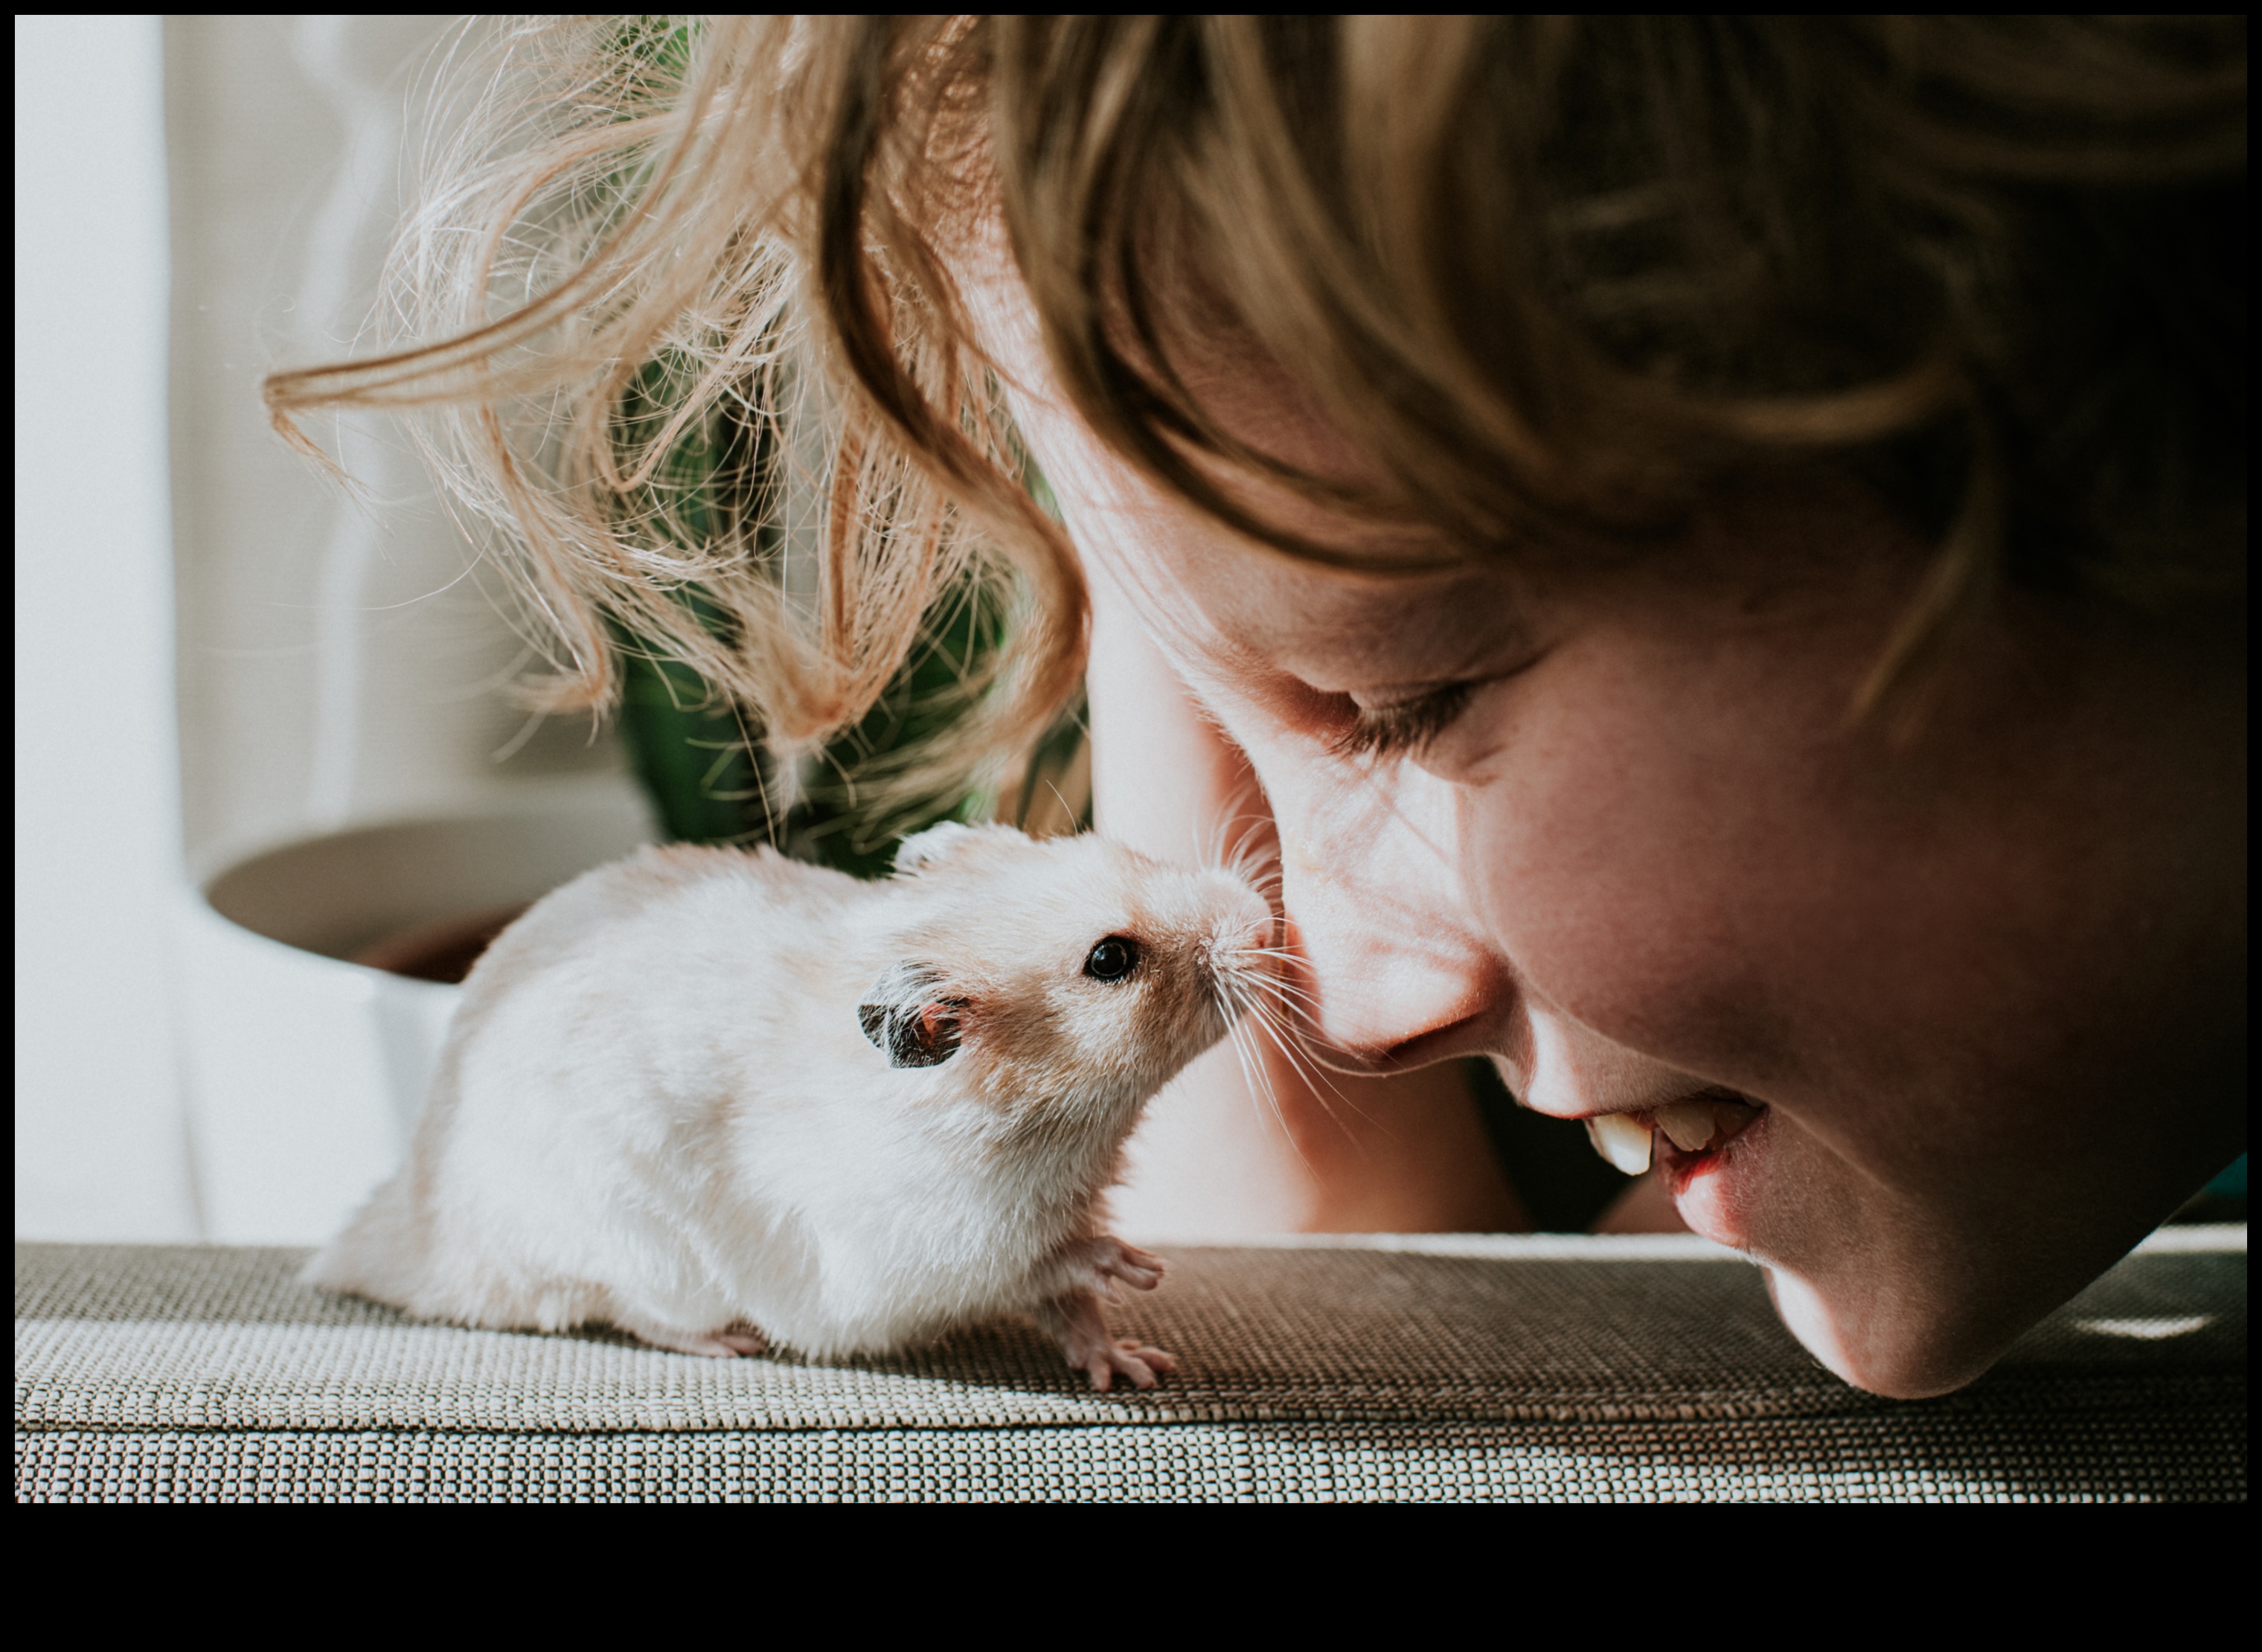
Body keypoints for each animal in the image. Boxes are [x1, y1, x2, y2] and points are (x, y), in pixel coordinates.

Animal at [306, 821, 1275, 1389]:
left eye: (1115, 847)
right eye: (1111, 959)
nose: (1263, 920)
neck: (1056, 1126)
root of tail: (408, 1236)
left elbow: (1070, 1310)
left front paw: (1135, 1367)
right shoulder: (937, 1251)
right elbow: (1050, 1266)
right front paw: (1138, 1267)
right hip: (632, 1248)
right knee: (626, 1310)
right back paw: (727, 1346)